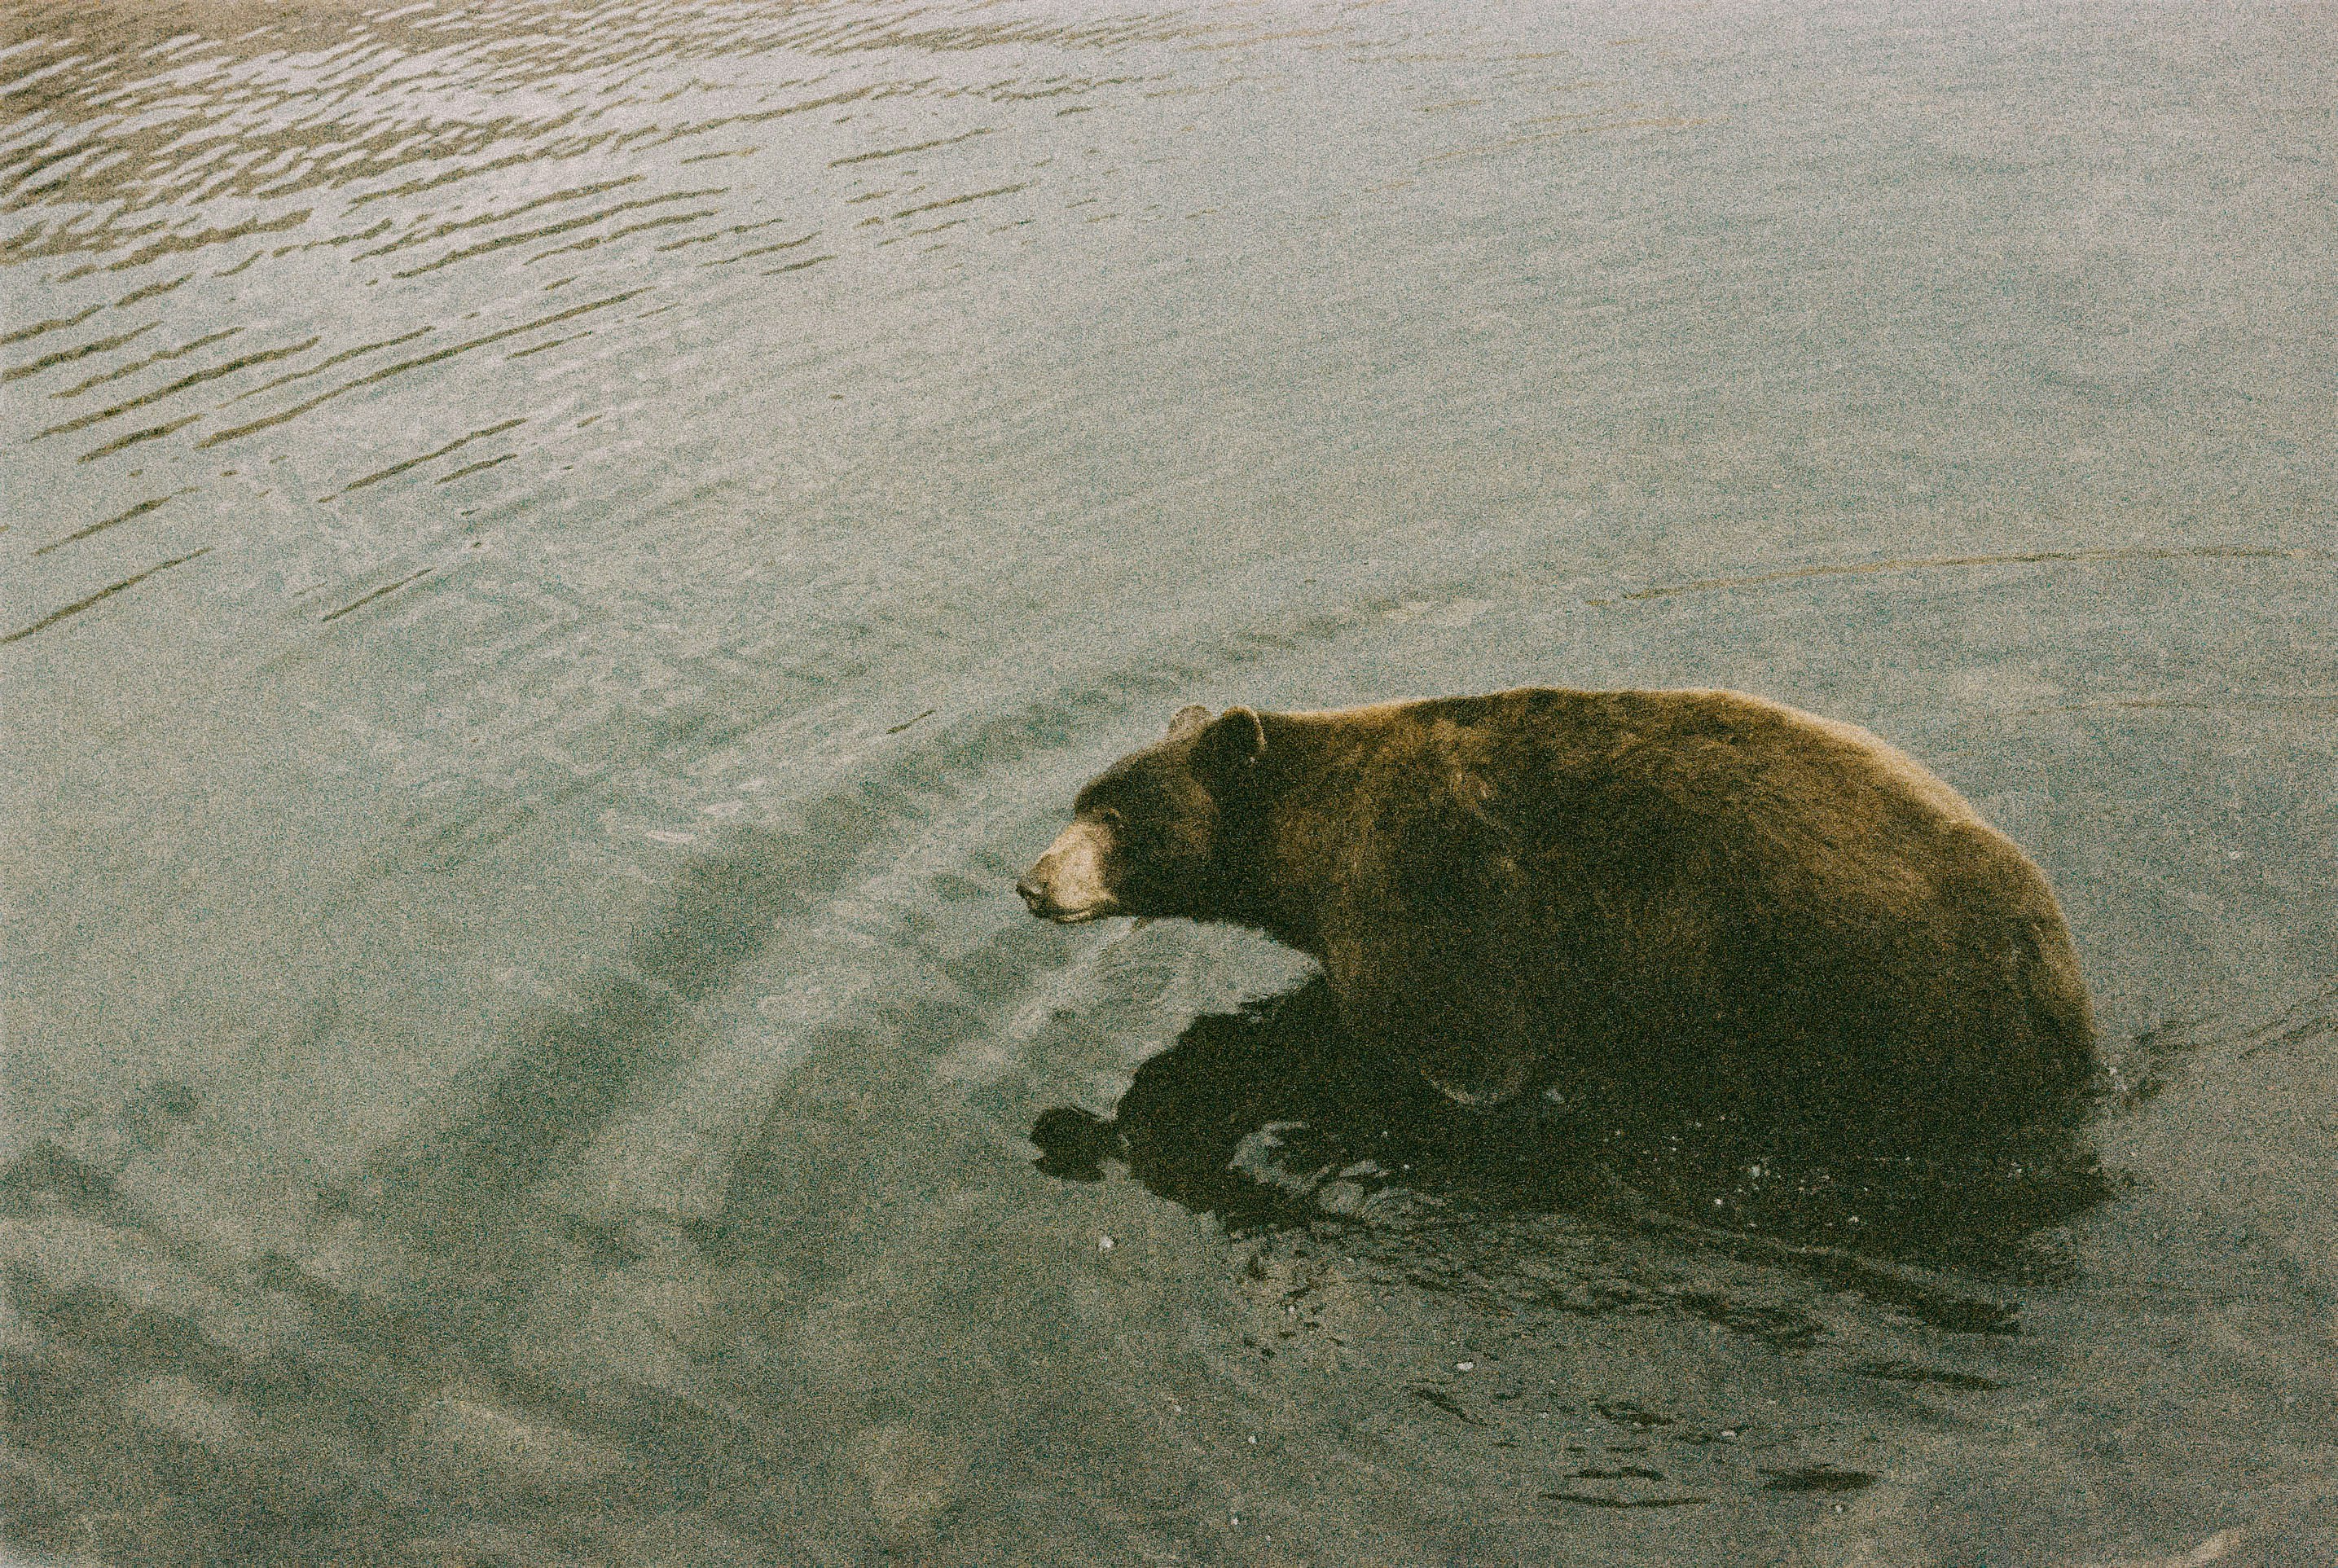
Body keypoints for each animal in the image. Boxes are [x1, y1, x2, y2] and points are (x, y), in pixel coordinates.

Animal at [1017, 688, 2100, 1151]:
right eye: (1081, 796)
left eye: (1114, 817)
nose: (1031, 880)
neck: (1308, 846)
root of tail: (2046, 947)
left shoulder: (1426, 905)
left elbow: (1453, 1050)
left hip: (1872, 993)